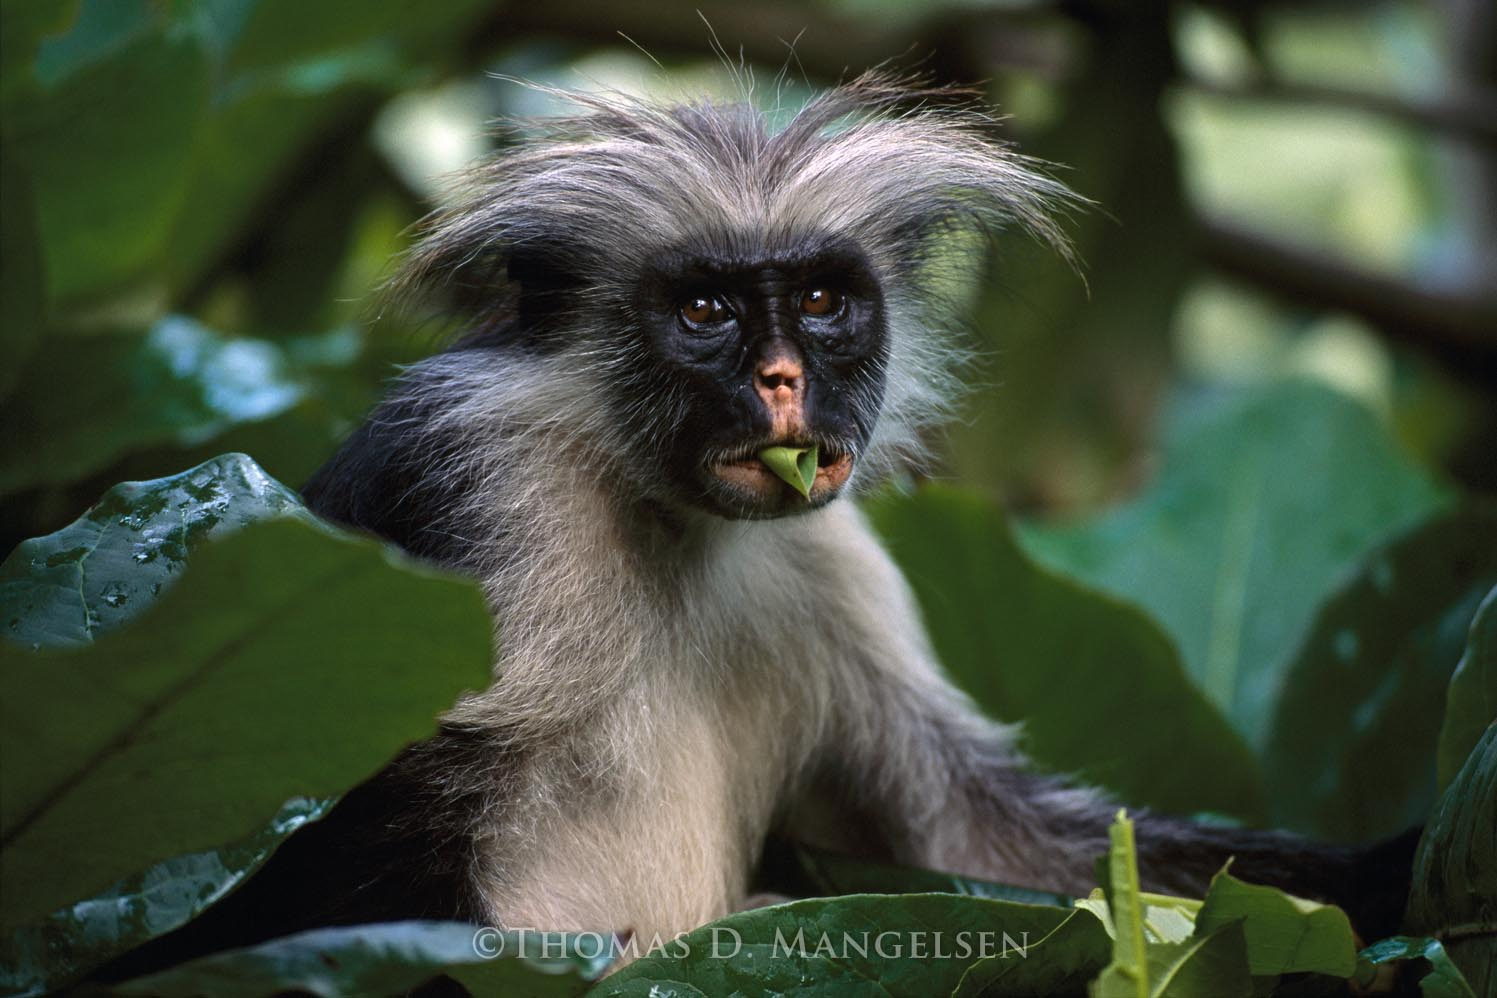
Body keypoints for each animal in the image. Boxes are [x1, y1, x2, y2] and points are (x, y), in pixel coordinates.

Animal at [102, 73, 1414, 980]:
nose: (784, 380)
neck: (664, 514)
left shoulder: (825, 552)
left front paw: (1391, 873)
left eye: (824, 300)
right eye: (705, 310)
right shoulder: (475, 489)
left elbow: (977, 839)